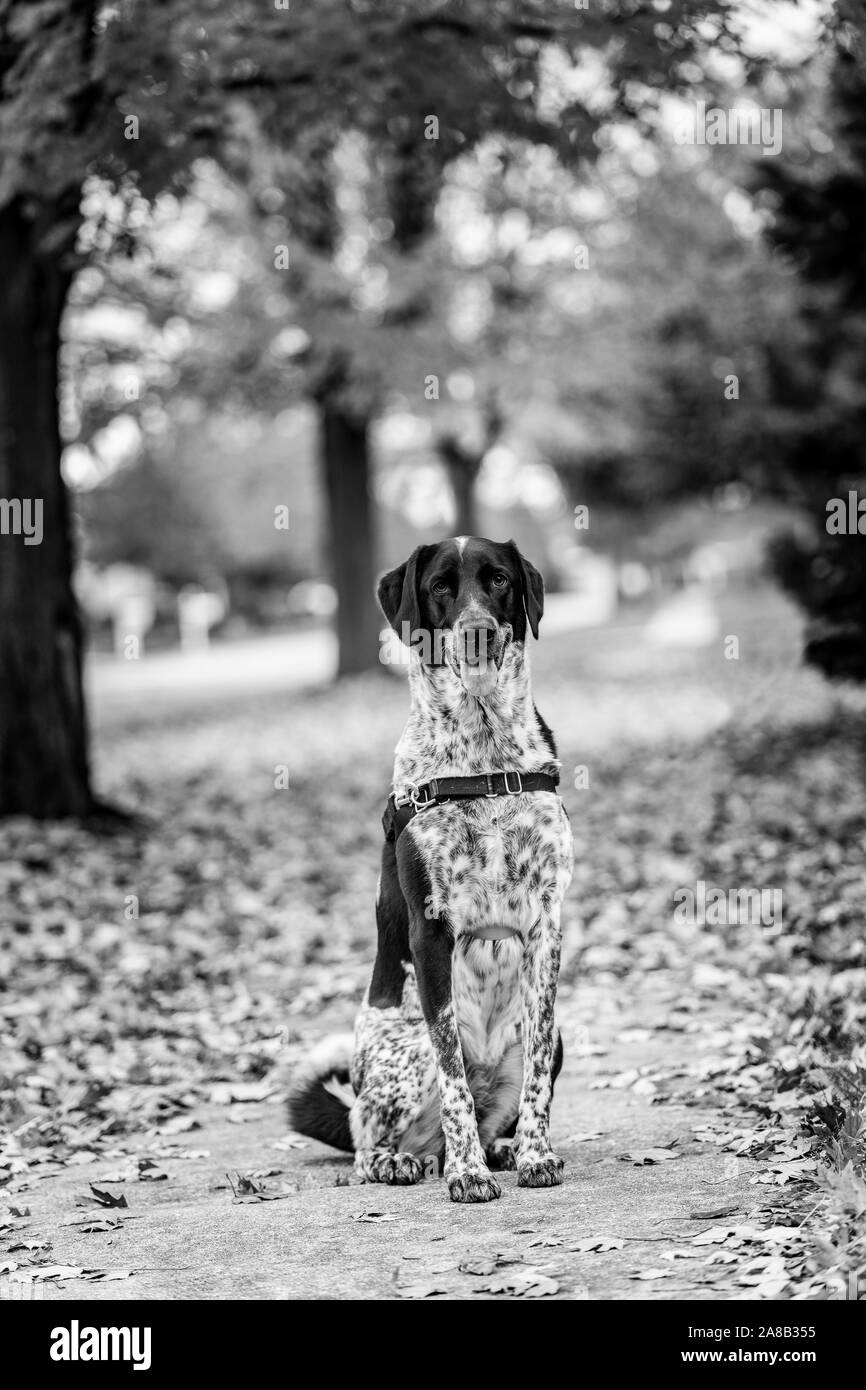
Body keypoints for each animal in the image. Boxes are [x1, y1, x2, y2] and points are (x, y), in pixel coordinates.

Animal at [289, 536, 575, 1200]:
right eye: (441, 586)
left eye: (498, 579)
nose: (477, 631)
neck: (484, 755)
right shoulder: (431, 932)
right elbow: (453, 1076)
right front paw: (468, 1174)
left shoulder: (547, 926)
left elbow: (537, 1075)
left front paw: (534, 1155)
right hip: (400, 1054)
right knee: (371, 1142)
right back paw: (409, 1161)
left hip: (554, 1040)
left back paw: (499, 1150)